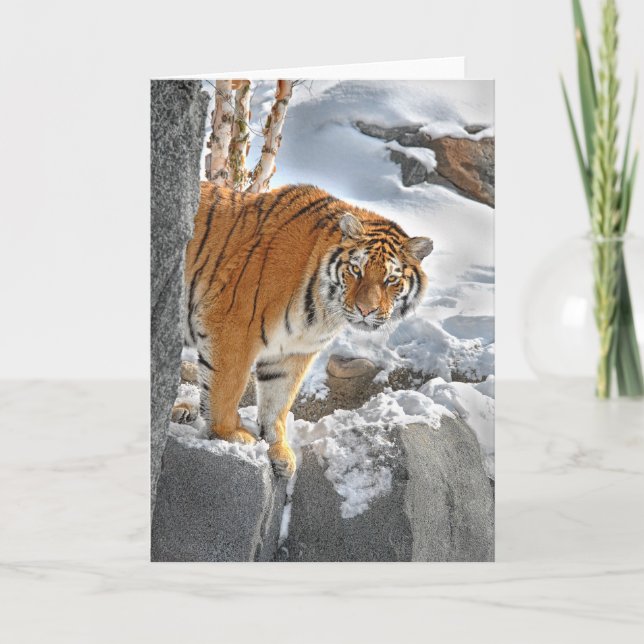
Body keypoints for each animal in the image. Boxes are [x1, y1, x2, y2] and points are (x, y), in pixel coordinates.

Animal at [173, 182, 433, 478]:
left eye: (390, 279)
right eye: (356, 270)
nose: (365, 310)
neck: (323, 311)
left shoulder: (293, 352)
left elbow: (278, 400)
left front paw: (279, 451)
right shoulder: (232, 324)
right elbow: (227, 386)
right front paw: (229, 434)